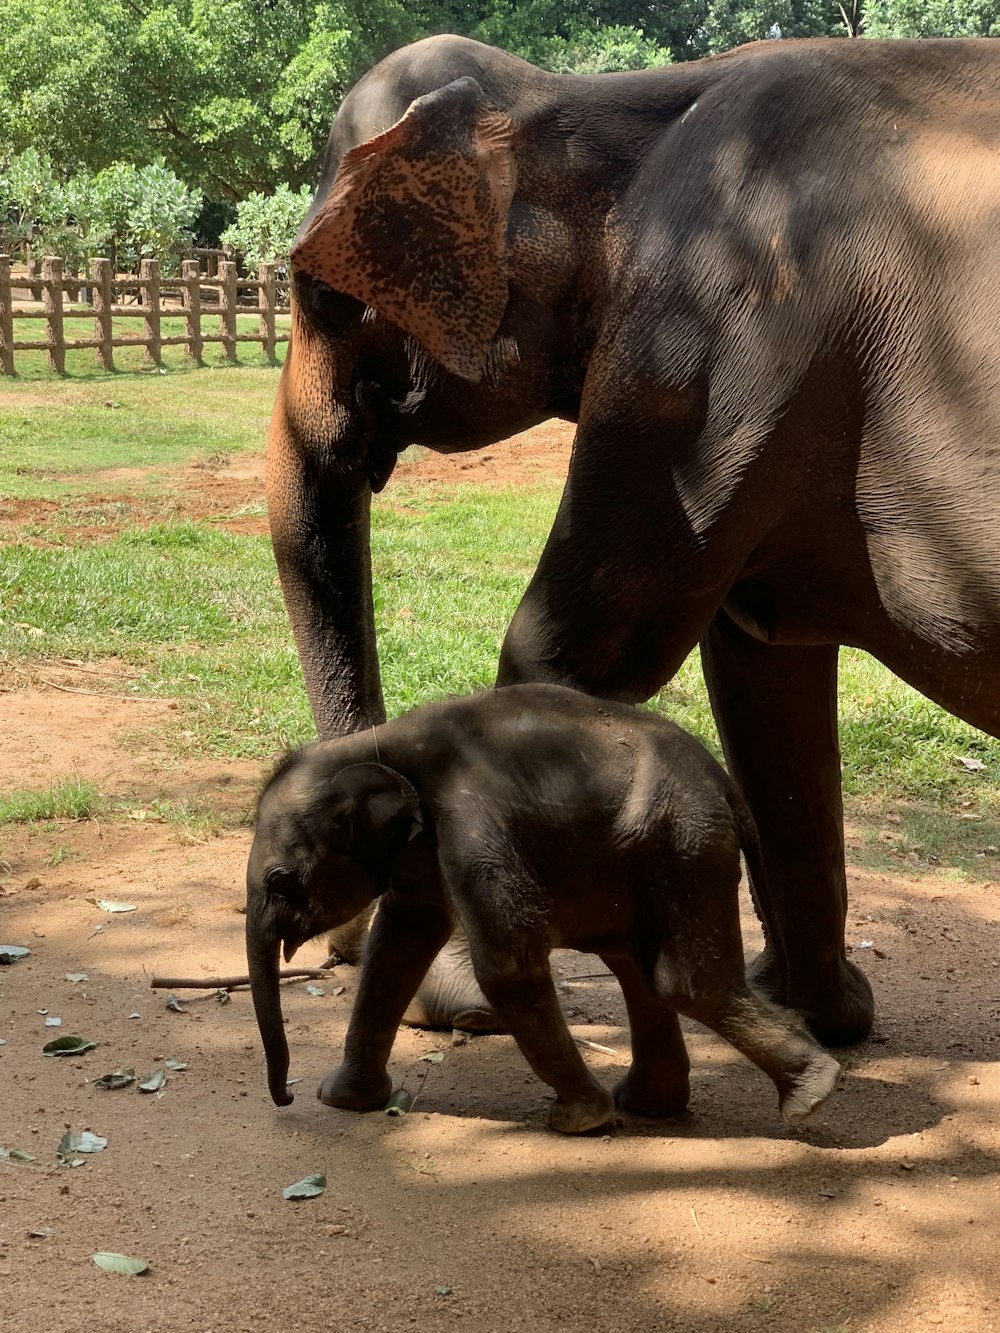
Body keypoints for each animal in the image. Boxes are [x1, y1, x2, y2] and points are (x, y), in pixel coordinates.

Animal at [246, 687, 842, 1135]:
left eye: (280, 882)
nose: (285, 1100)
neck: (380, 741)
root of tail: (726, 785)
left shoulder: (472, 823)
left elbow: (506, 964)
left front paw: (580, 1121)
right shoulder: (424, 846)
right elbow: (400, 941)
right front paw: (343, 1100)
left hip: (684, 844)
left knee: (683, 982)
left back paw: (813, 1093)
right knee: (636, 968)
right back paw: (652, 1105)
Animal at [264, 31, 1000, 1045]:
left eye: (320, 293)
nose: (330, 937)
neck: (602, 102)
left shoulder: (704, 358)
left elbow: (569, 653)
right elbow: (765, 679)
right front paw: (819, 1013)